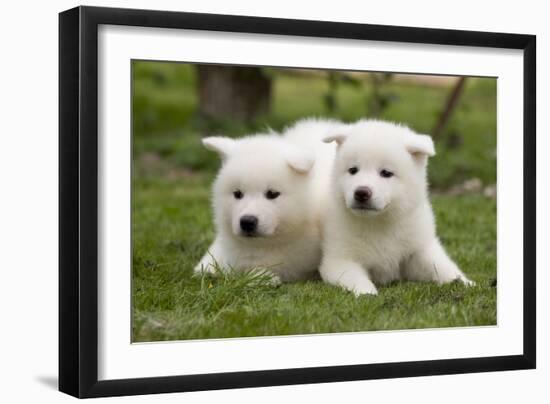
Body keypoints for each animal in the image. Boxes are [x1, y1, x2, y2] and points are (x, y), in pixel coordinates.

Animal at [324, 118, 474, 296]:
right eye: (353, 170)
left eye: (386, 173)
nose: (361, 192)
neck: (379, 223)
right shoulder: (340, 259)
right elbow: (356, 278)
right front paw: (368, 294)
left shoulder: (419, 249)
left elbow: (442, 267)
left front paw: (466, 283)